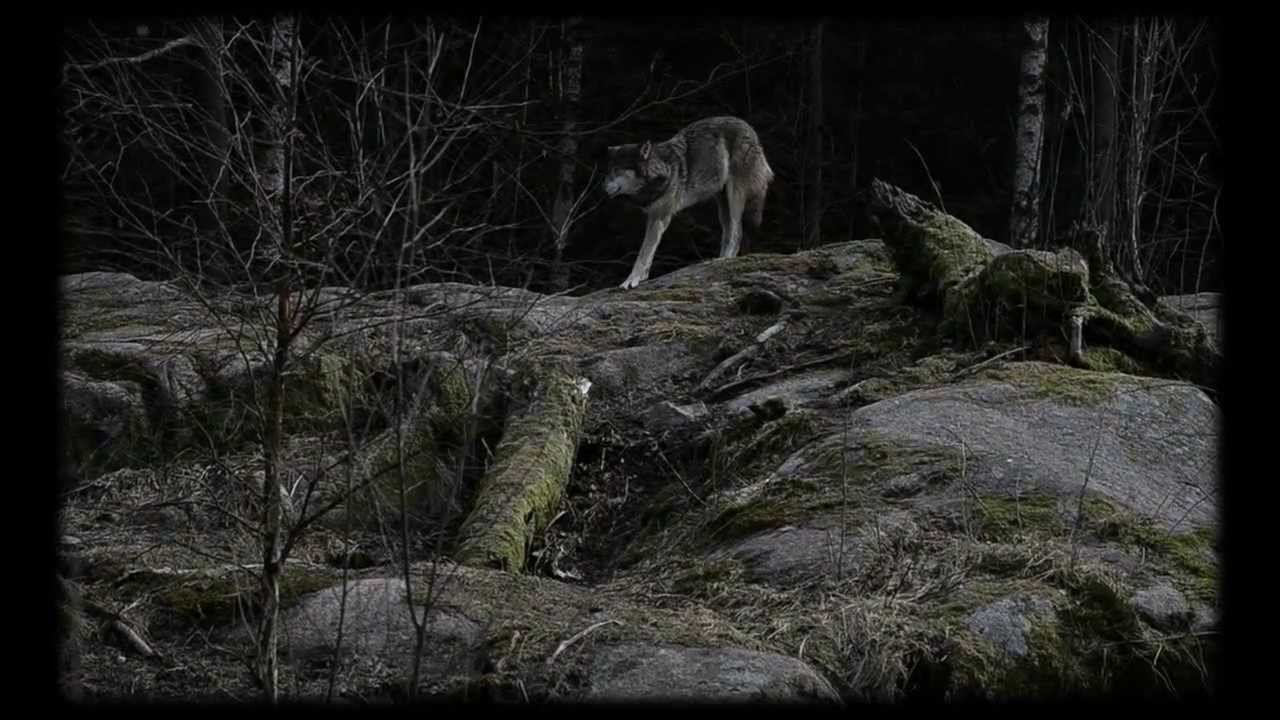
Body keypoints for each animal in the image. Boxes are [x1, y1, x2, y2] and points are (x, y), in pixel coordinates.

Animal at [603, 116, 774, 289]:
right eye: (608, 170)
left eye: (617, 170)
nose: (603, 187)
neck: (664, 171)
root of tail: (749, 129)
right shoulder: (652, 217)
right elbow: (648, 252)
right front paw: (642, 277)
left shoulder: (659, 218)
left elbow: (644, 252)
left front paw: (631, 280)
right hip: (722, 204)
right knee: (729, 231)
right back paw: (718, 261)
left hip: (735, 196)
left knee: (737, 231)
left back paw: (725, 260)